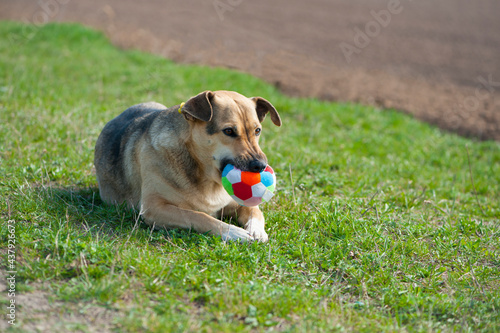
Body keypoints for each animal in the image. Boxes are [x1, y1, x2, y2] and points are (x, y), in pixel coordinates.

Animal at [94, 90, 282, 241]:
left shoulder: (238, 203)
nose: (261, 166)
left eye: (257, 130)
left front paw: (257, 231)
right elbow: (198, 216)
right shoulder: (154, 208)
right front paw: (233, 232)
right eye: (229, 131)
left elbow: (256, 213)